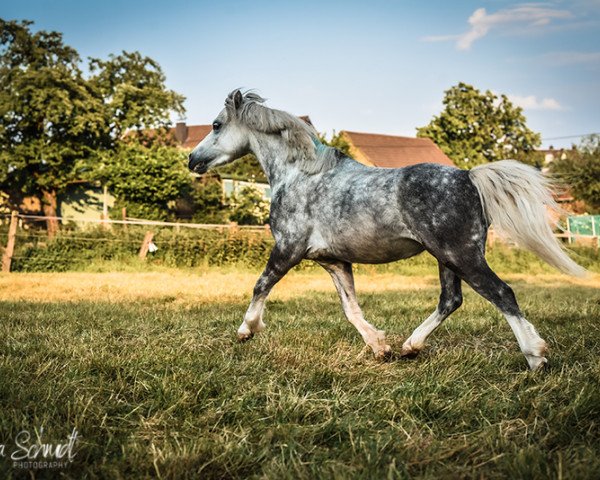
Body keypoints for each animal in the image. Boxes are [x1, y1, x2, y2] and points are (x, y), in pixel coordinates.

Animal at [188, 92, 580, 374]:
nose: (192, 160)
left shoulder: (288, 249)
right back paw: (410, 347)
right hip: (447, 258)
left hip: (462, 255)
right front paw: (380, 347)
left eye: (217, 124)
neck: (300, 175)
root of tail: (468, 176)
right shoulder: (334, 262)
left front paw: (247, 330)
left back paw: (535, 357)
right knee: (451, 300)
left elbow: (260, 286)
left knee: (502, 293)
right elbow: (351, 309)